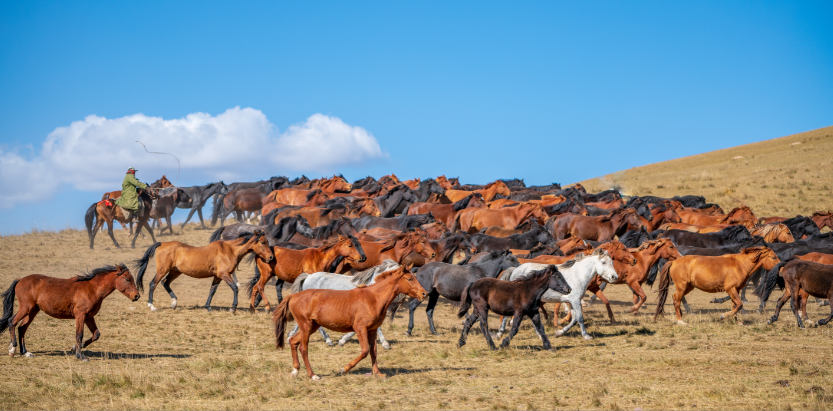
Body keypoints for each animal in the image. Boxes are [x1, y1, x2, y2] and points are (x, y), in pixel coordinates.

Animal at [0, 264, 140, 360]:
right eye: (127, 279)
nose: (137, 296)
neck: (92, 289)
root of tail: (20, 280)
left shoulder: (89, 317)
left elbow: (96, 334)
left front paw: (75, 347)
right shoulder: (80, 316)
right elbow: (79, 335)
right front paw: (80, 356)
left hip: (33, 311)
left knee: (22, 328)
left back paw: (25, 352)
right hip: (26, 308)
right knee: (12, 322)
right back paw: (12, 349)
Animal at [136, 230, 272, 314]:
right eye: (262, 242)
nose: (271, 257)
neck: (230, 250)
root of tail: (162, 243)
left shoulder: (217, 276)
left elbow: (212, 290)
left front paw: (208, 307)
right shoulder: (224, 275)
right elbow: (235, 288)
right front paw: (233, 308)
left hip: (175, 272)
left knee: (165, 283)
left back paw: (174, 303)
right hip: (162, 270)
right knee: (153, 284)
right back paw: (152, 306)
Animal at [272, 268, 428, 380]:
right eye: (409, 279)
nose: (424, 293)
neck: (373, 298)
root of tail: (293, 296)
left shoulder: (372, 330)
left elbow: (374, 351)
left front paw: (378, 373)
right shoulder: (360, 329)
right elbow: (365, 351)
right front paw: (344, 369)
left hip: (312, 326)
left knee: (293, 341)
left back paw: (295, 371)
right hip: (306, 326)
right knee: (303, 348)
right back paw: (313, 375)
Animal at [652, 248, 784, 326]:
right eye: (773, 257)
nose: (782, 269)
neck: (740, 265)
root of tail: (674, 261)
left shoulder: (735, 290)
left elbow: (735, 305)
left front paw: (736, 321)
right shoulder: (730, 289)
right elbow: (739, 305)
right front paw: (723, 316)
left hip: (688, 287)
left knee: (675, 298)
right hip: (682, 287)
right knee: (676, 300)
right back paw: (680, 321)